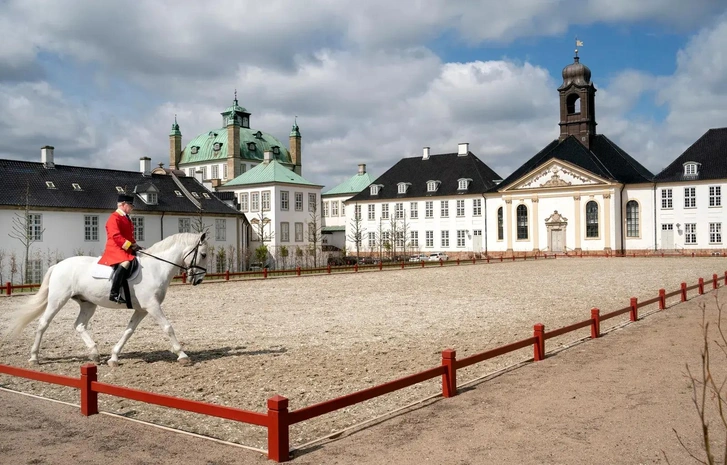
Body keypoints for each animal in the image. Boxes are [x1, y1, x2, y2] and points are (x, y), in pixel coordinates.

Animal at [5, 232, 209, 366]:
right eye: (204, 254)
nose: (198, 280)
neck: (156, 267)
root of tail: (58, 265)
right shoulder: (152, 306)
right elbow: (168, 327)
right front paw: (182, 355)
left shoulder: (142, 309)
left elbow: (128, 331)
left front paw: (114, 357)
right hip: (58, 300)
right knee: (43, 324)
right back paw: (34, 357)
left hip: (88, 304)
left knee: (79, 325)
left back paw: (95, 354)